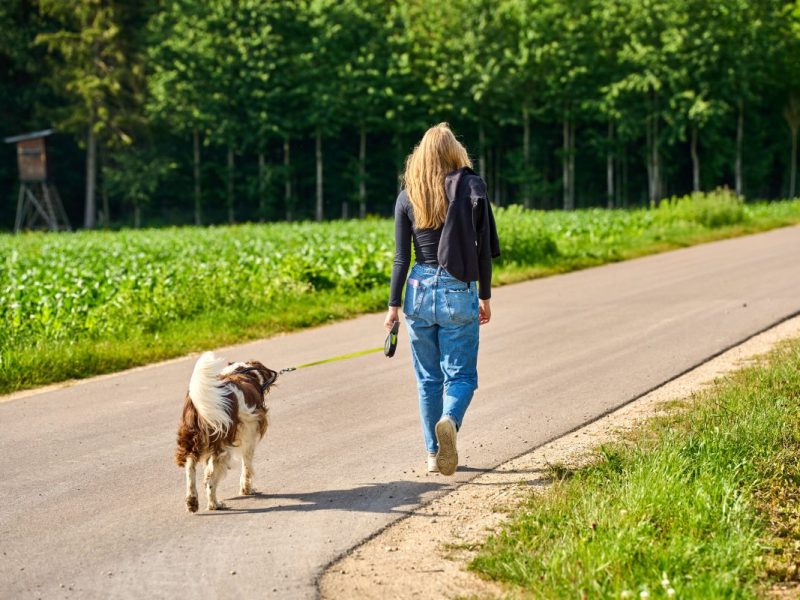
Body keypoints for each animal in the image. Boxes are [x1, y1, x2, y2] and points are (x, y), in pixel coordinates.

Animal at [175, 354, 278, 512]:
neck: (242, 372)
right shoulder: (249, 437)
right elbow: (246, 466)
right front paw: (246, 489)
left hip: (191, 440)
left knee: (190, 469)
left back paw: (192, 501)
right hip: (222, 446)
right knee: (211, 480)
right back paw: (214, 504)